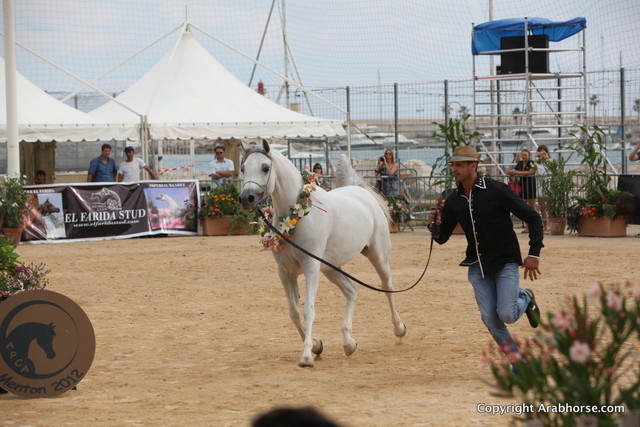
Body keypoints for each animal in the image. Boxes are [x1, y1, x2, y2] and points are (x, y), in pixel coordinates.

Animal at [239, 139, 406, 367]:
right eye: (243, 168)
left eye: (265, 167)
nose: (246, 198)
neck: (296, 215)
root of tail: (359, 191)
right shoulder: (285, 272)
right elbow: (293, 312)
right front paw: (316, 345)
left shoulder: (310, 267)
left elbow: (308, 310)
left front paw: (306, 356)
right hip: (330, 267)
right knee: (352, 291)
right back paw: (348, 343)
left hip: (378, 256)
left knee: (387, 286)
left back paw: (399, 329)